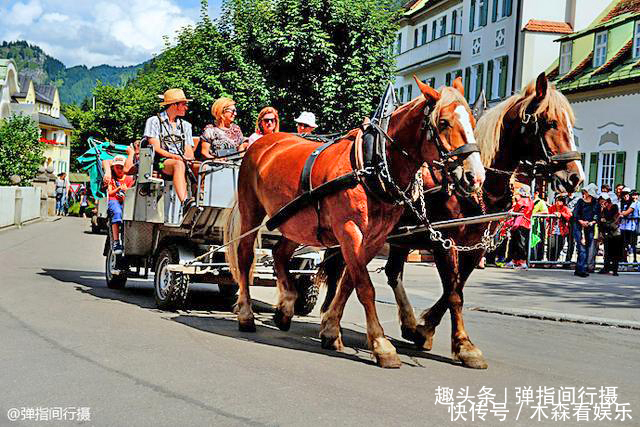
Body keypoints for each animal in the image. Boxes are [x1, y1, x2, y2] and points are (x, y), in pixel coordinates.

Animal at [225, 79, 484, 368]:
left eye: (472, 121)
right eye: (444, 122)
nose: (475, 177)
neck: (374, 165)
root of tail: (264, 141)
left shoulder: (375, 238)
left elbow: (350, 282)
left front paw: (330, 331)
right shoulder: (350, 231)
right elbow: (365, 287)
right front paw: (382, 345)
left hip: (295, 220)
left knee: (280, 253)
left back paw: (286, 306)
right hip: (252, 210)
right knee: (245, 255)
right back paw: (246, 314)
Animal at [320, 72, 584, 370]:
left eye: (570, 123)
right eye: (550, 122)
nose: (575, 177)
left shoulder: (475, 247)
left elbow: (454, 289)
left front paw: (424, 330)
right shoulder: (445, 244)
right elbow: (455, 293)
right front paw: (464, 346)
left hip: (397, 237)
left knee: (385, 272)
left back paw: (396, 322)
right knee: (342, 269)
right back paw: (329, 320)